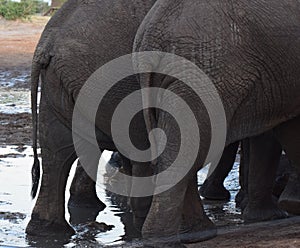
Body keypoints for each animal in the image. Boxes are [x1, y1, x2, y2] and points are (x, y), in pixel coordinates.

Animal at [134, 0, 300, 242]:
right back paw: (165, 240)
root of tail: (150, 35)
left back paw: (196, 233)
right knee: (188, 149)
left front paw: (286, 208)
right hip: (202, 76)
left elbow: (283, 129)